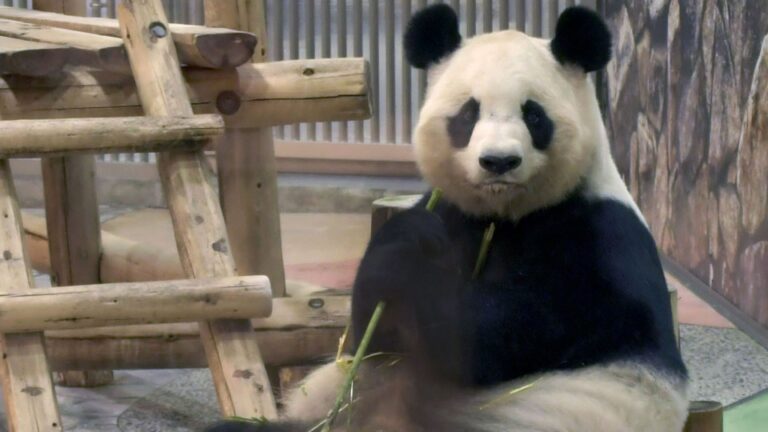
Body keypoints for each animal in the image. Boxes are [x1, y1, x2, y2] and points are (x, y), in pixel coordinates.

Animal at [207, 4, 688, 432]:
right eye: (468, 114)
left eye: (534, 115)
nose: (499, 162)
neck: (504, 216)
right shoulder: (455, 213)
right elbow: (375, 335)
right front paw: (403, 246)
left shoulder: (596, 240)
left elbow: (492, 337)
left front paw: (410, 264)